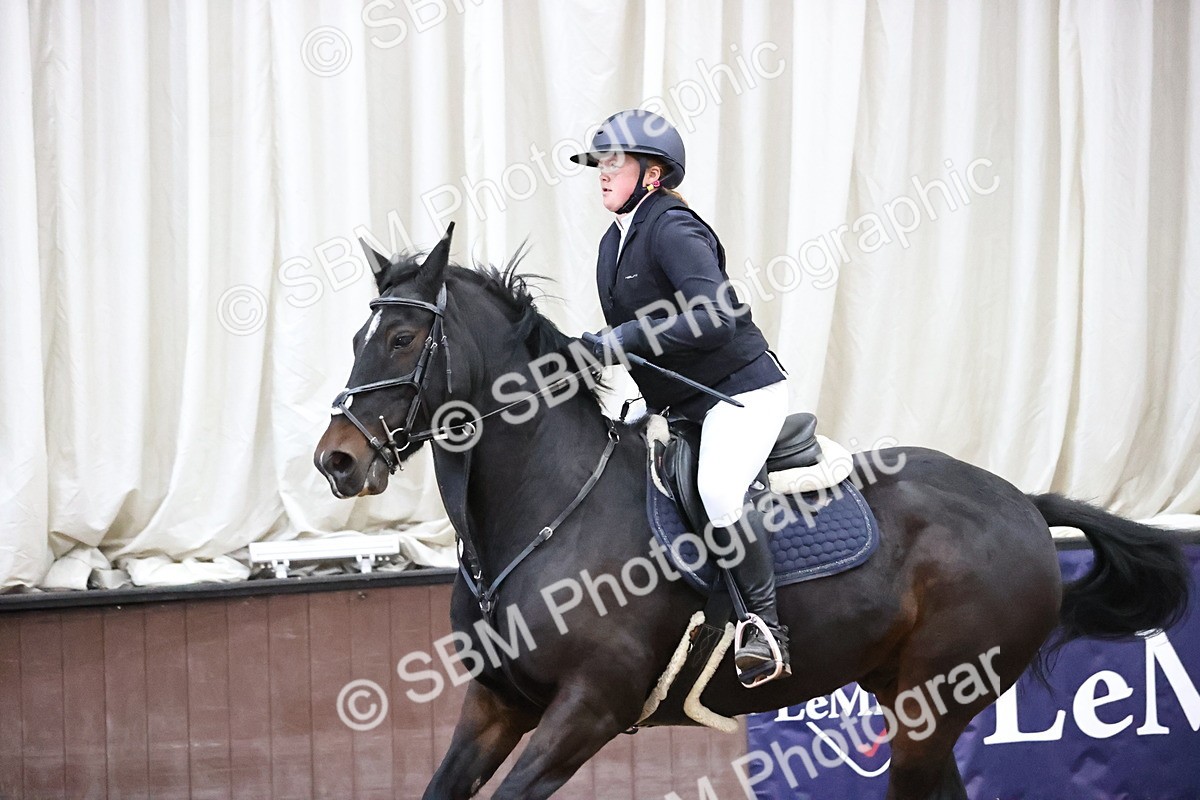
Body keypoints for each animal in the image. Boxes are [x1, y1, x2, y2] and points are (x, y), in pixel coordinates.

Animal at [314, 226, 1190, 800]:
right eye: (355, 337)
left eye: (400, 338)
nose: (336, 460)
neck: (544, 510)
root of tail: (1021, 501)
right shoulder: (499, 703)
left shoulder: (588, 707)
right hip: (909, 699)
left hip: (934, 704)